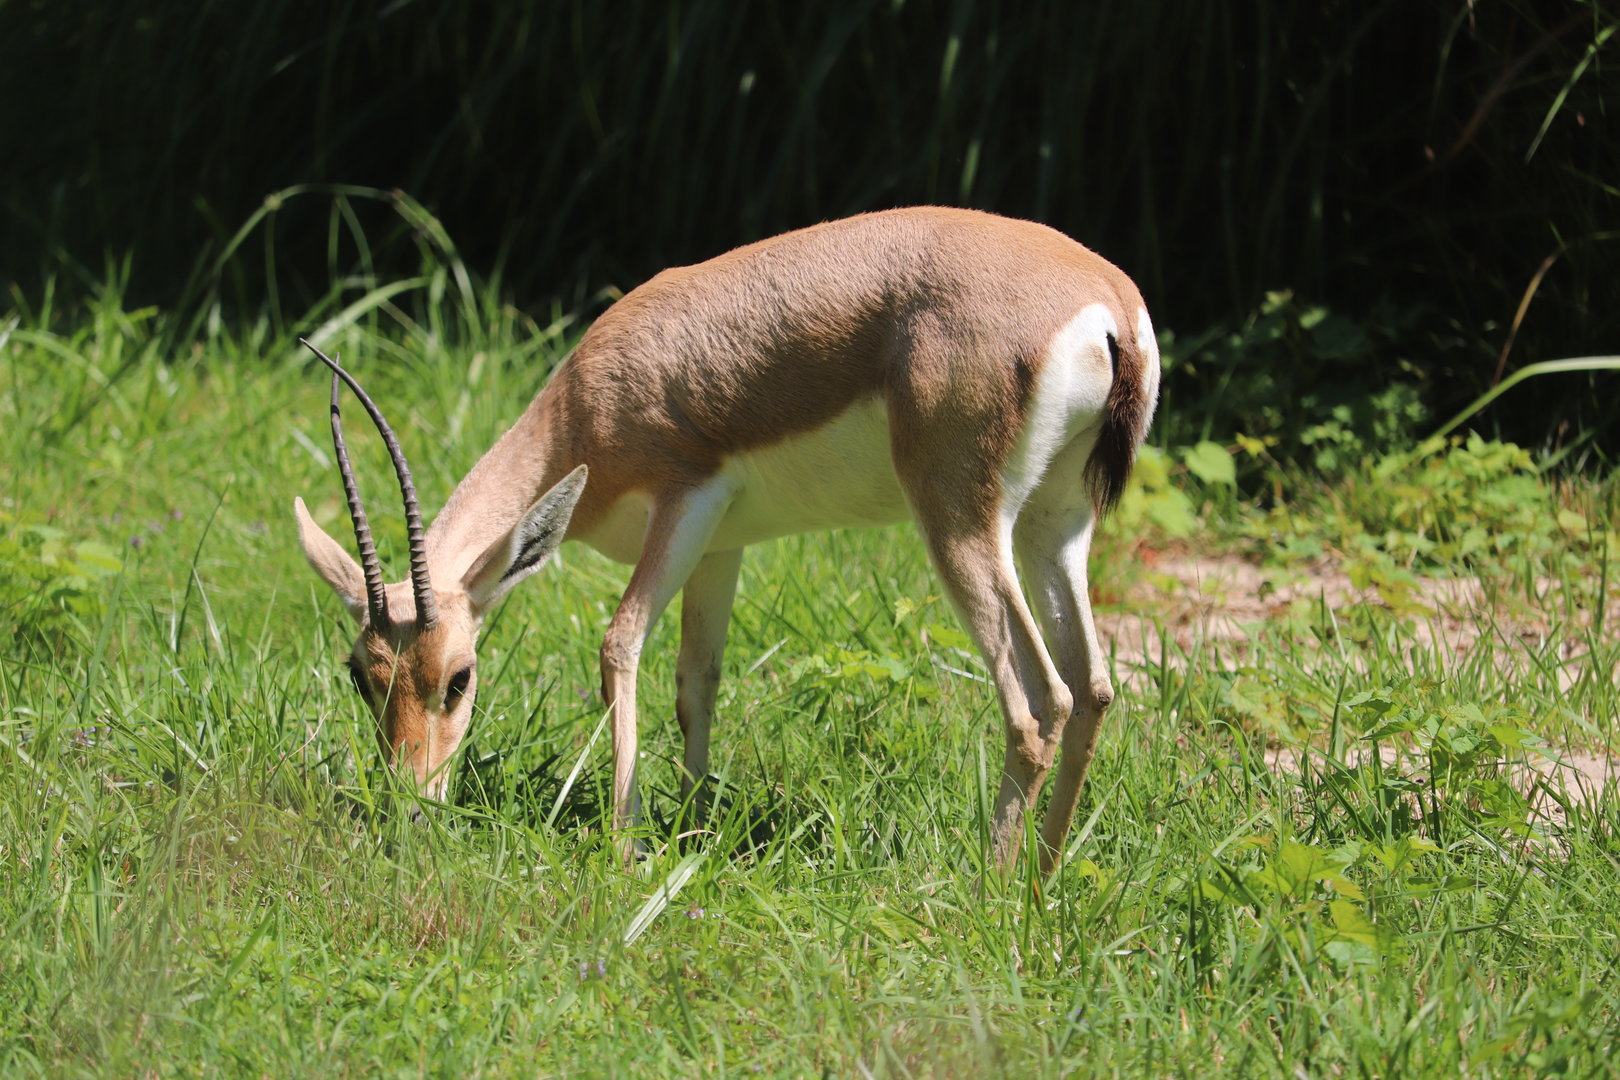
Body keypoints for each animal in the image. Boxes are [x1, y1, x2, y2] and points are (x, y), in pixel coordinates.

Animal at [294, 206, 1159, 873]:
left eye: (459, 678)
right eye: (361, 676)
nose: (409, 804)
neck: (591, 400)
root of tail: (1105, 302)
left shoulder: (687, 502)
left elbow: (619, 644)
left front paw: (624, 848)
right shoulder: (722, 545)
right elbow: (696, 679)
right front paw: (694, 829)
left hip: (960, 524)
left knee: (1039, 702)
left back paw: (990, 888)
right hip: (1054, 527)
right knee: (1093, 687)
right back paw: (1043, 882)